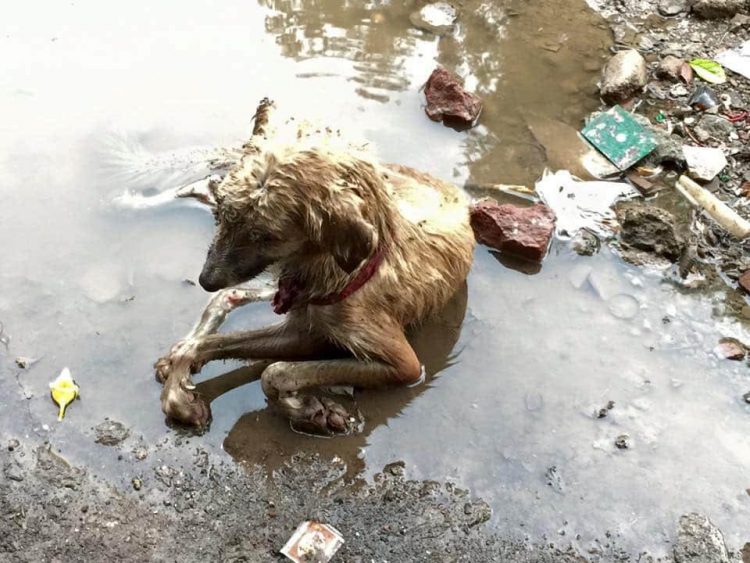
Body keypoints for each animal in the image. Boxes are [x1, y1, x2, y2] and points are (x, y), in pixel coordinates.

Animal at [156, 99, 476, 436]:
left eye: (266, 236)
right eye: (221, 213)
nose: (205, 279)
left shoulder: (404, 365)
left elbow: (275, 372)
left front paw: (308, 410)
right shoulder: (303, 322)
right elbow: (212, 343)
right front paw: (179, 389)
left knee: (231, 298)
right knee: (227, 297)